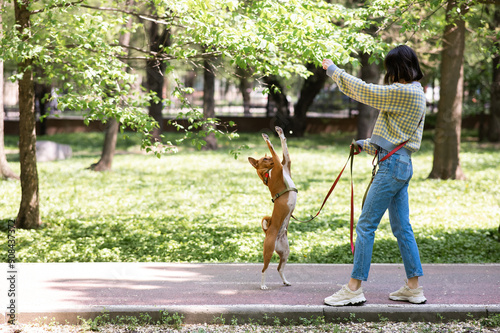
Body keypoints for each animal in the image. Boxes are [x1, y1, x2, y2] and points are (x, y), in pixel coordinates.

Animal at [247, 125, 296, 288]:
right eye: (265, 159)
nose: (272, 162)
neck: (268, 173)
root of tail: (268, 231)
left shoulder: (285, 163)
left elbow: (283, 145)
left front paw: (279, 131)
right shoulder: (281, 165)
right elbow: (273, 147)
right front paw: (266, 137)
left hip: (285, 252)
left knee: (279, 268)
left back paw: (286, 281)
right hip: (268, 251)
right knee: (264, 269)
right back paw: (263, 285)